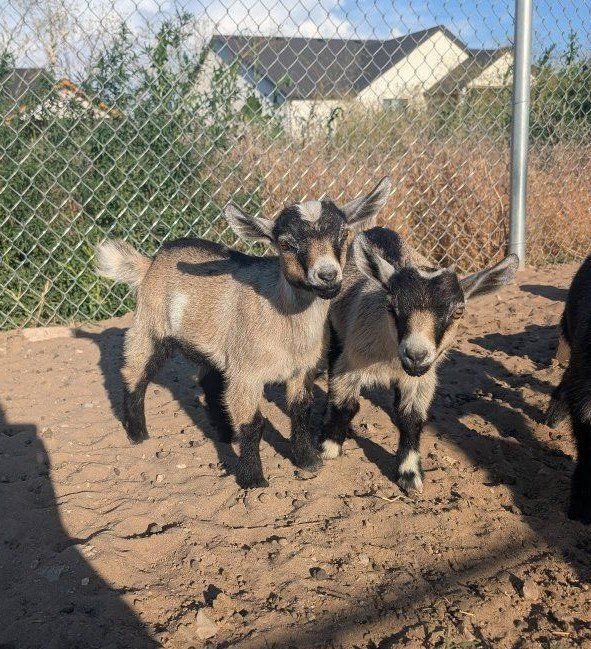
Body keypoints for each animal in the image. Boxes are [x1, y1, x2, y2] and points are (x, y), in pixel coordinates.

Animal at [96, 178, 392, 489]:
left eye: (344, 234)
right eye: (285, 243)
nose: (327, 275)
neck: (284, 323)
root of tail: (149, 264)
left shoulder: (301, 370)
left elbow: (301, 410)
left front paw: (307, 461)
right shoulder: (246, 374)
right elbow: (253, 424)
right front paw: (253, 479)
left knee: (210, 381)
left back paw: (225, 434)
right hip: (150, 325)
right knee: (135, 373)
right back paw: (137, 434)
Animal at [319, 227, 519, 493]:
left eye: (458, 311)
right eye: (390, 305)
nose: (416, 354)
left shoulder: (422, 378)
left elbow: (411, 418)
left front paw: (410, 474)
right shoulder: (351, 362)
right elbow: (345, 405)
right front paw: (329, 446)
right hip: (335, 332)